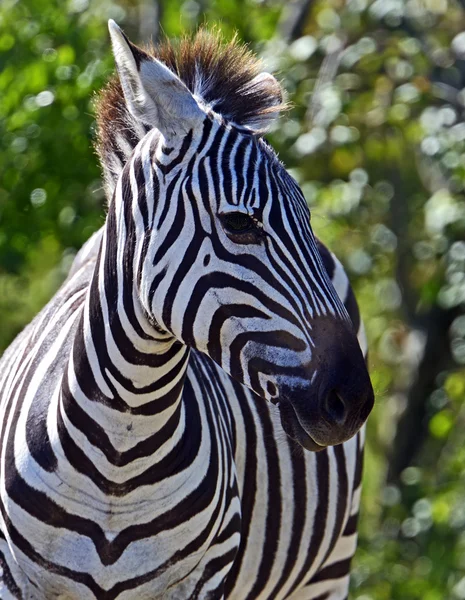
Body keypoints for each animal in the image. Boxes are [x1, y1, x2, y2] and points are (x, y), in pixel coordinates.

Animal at [0, 21, 374, 596]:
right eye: (240, 223)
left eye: (308, 221)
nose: (353, 400)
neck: (121, 447)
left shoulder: (208, 576)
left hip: (330, 568)